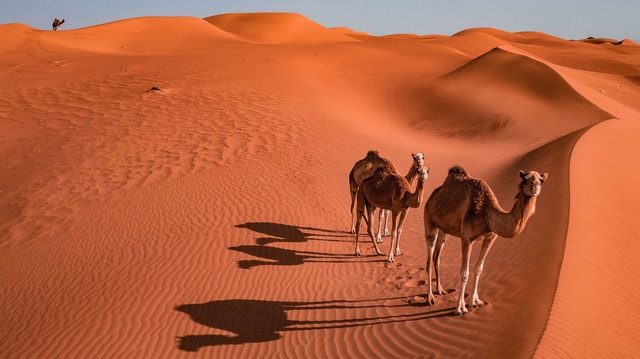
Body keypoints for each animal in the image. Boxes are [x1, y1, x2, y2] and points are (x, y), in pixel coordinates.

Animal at [422, 166, 548, 316]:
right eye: (525, 179)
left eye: (541, 180)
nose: (534, 187)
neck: (487, 213)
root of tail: (432, 196)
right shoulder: (467, 238)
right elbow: (465, 273)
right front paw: (460, 308)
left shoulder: (490, 237)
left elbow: (478, 269)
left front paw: (475, 301)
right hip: (429, 221)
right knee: (429, 258)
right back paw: (430, 298)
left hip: (444, 230)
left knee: (437, 256)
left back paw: (440, 290)